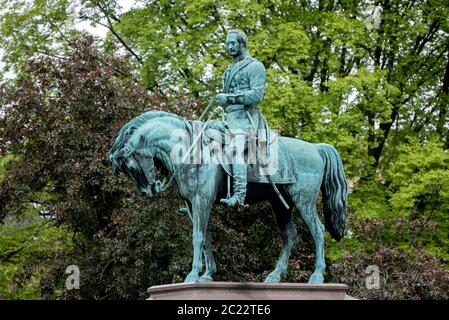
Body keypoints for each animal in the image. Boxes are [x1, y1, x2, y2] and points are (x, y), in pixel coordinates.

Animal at [107, 111, 346, 284]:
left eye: (131, 167)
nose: (147, 192)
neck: (190, 150)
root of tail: (316, 147)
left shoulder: (201, 200)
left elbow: (197, 237)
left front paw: (193, 275)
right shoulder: (193, 204)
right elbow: (206, 238)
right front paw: (207, 274)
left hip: (303, 201)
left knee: (318, 231)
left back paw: (316, 276)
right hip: (280, 204)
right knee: (289, 236)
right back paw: (274, 276)